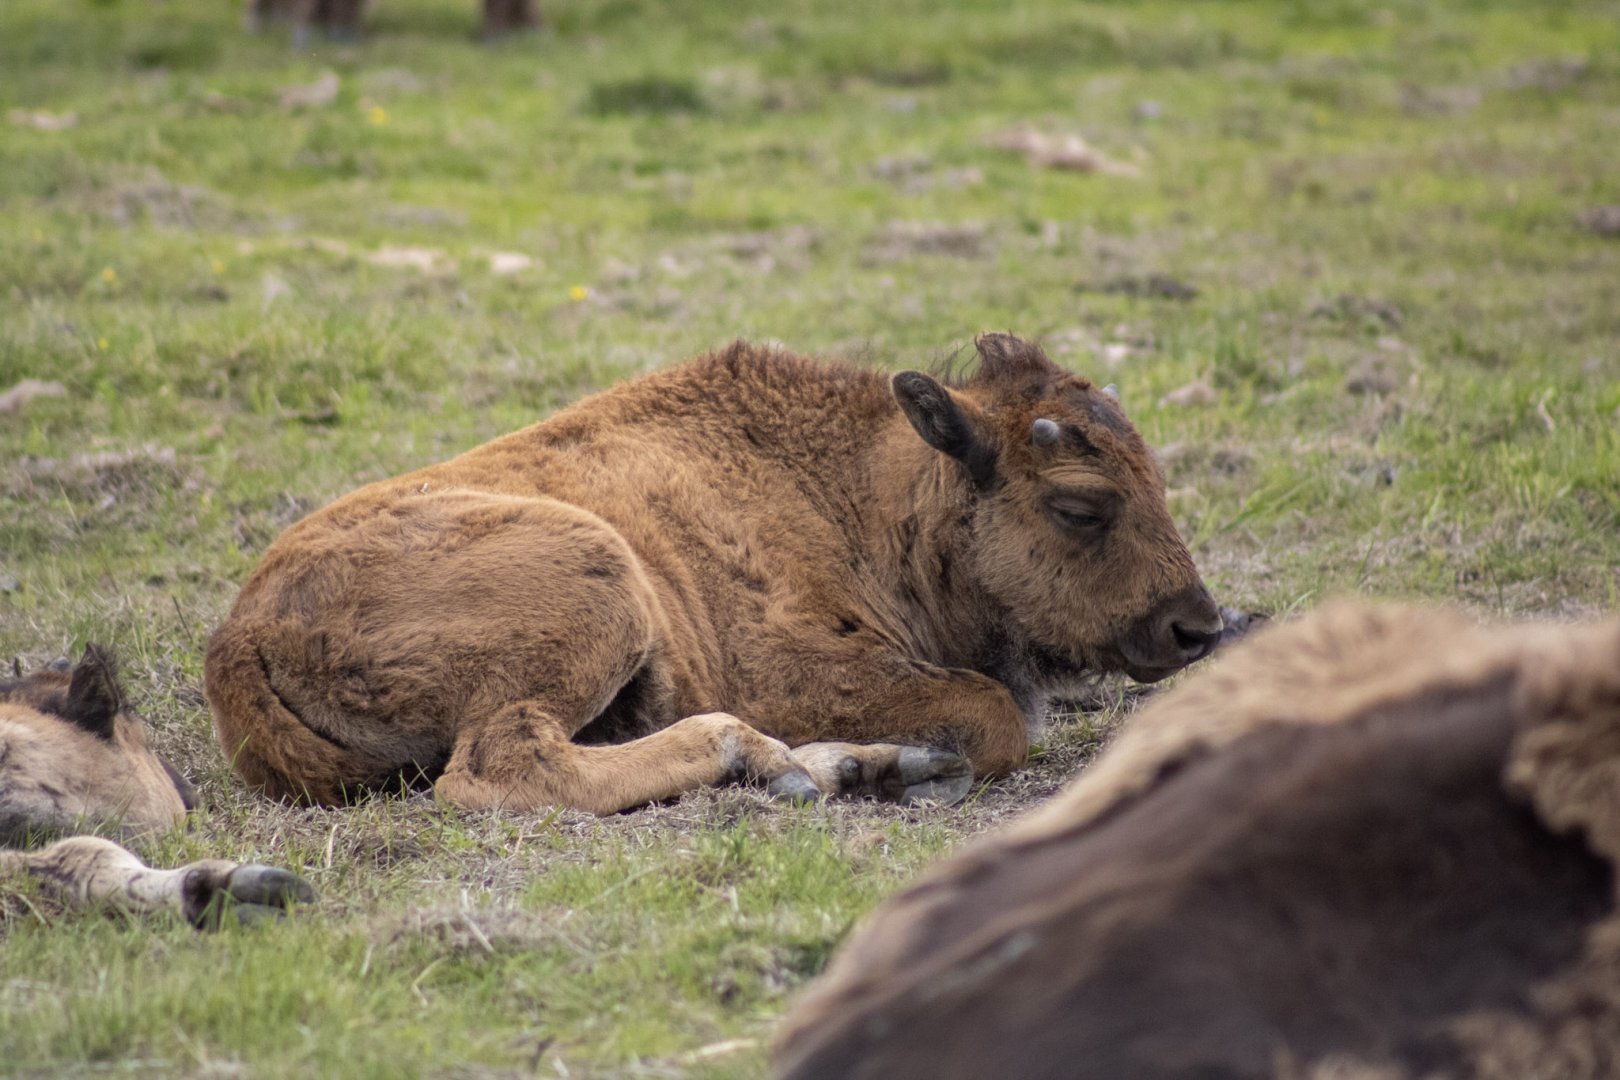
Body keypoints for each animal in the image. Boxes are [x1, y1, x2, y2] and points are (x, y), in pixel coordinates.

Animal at [204, 334, 1222, 816]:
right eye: (1081, 505)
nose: (1198, 628)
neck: (861, 490)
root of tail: (239, 638)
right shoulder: (793, 670)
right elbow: (994, 715)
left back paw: (834, 767)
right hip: (601, 581)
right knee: (502, 763)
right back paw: (756, 755)